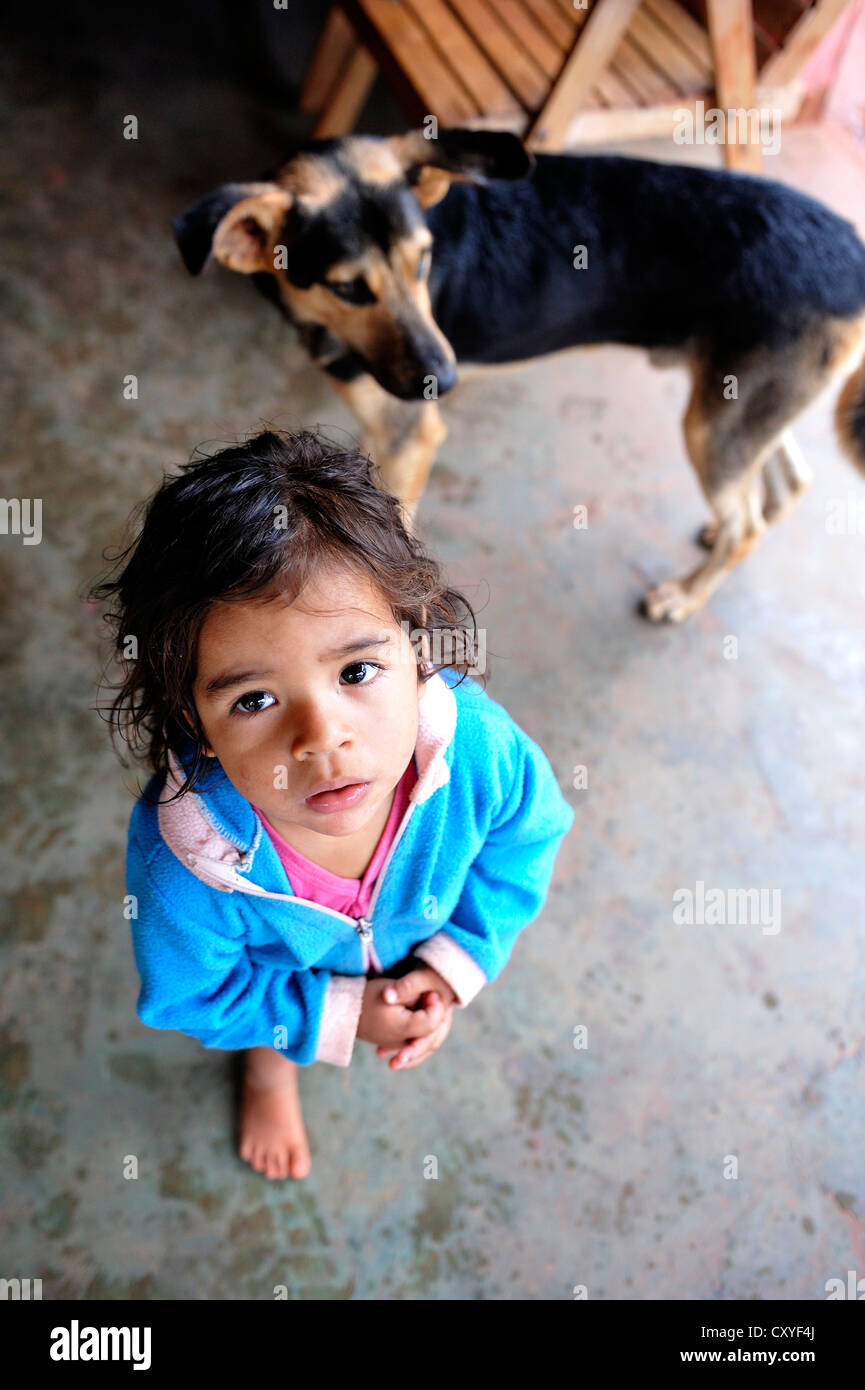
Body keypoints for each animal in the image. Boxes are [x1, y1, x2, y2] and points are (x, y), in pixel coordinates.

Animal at [174, 127, 865, 628]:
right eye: (348, 287)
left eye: (424, 260)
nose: (446, 380)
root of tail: (853, 250)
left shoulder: (408, 435)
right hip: (739, 403)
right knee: (786, 484)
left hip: (714, 425)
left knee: (750, 521)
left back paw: (684, 596)